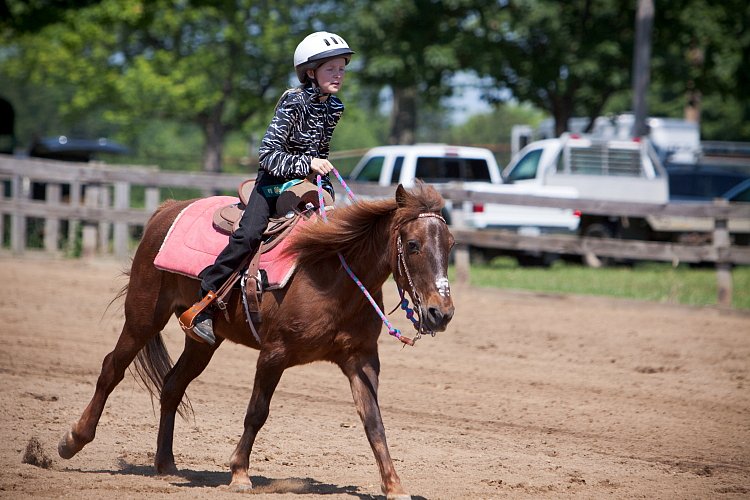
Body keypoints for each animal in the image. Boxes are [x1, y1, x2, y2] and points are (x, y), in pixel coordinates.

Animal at [57, 182, 452, 498]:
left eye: (450, 245)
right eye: (413, 244)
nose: (441, 313)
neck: (331, 273)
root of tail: (167, 209)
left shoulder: (361, 359)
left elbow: (374, 422)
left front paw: (394, 485)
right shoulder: (274, 354)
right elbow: (256, 412)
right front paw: (239, 474)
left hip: (203, 340)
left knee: (171, 385)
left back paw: (166, 463)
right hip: (143, 318)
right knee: (112, 368)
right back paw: (73, 440)